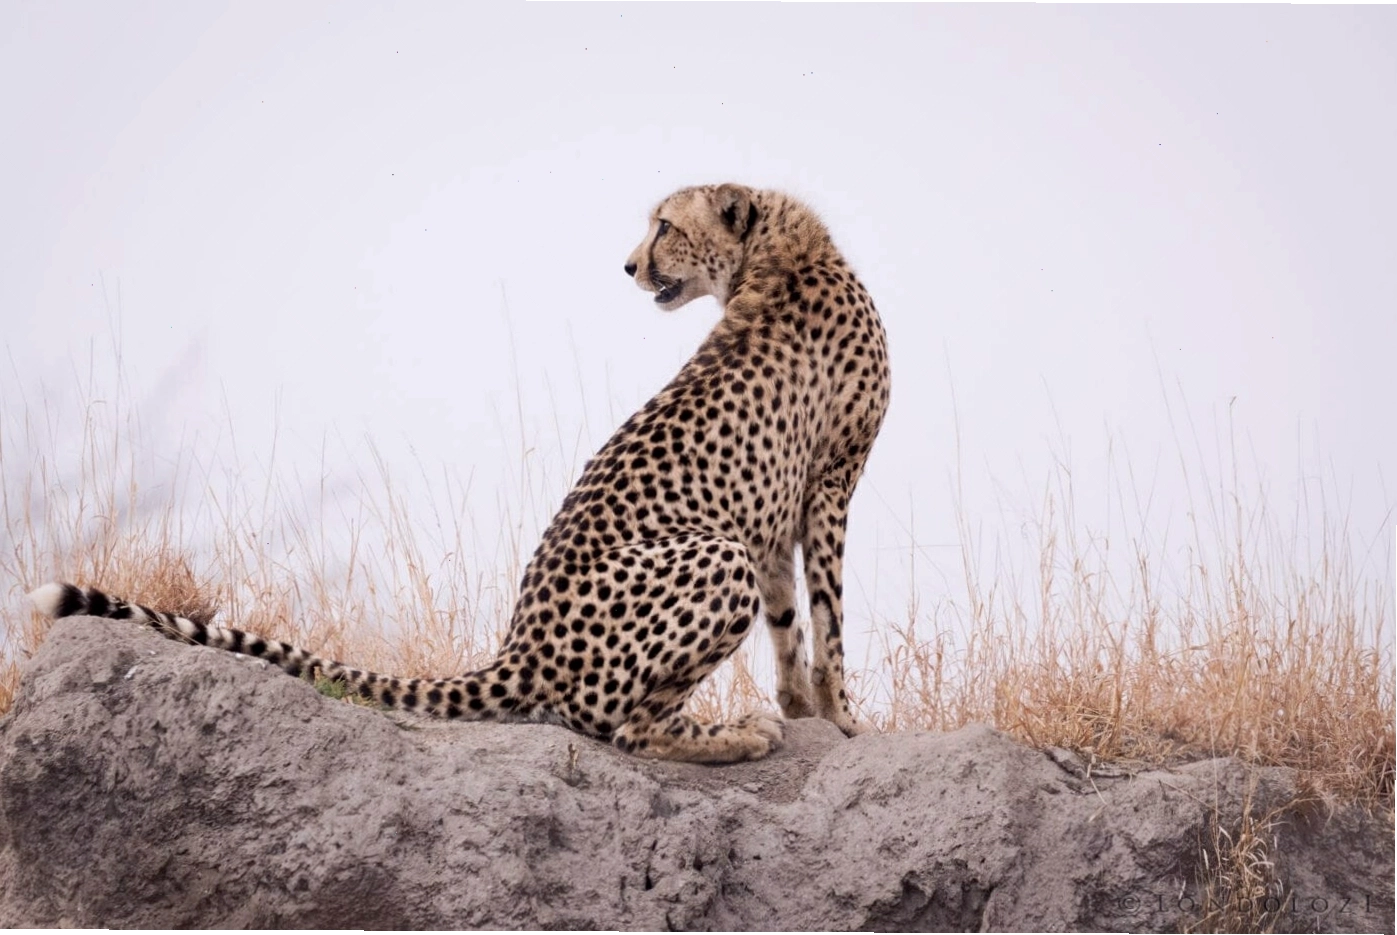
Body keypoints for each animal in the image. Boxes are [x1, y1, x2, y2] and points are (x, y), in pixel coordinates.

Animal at [30, 182, 891, 764]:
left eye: (666, 226)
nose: (628, 265)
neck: (775, 253)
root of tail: (519, 647)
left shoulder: (786, 503)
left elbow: (792, 622)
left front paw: (809, 709)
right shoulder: (831, 482)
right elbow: (829, 615)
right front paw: (843, 717)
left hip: (728, 548)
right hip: (714, 553)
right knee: (618, 723)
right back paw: (732, 735)